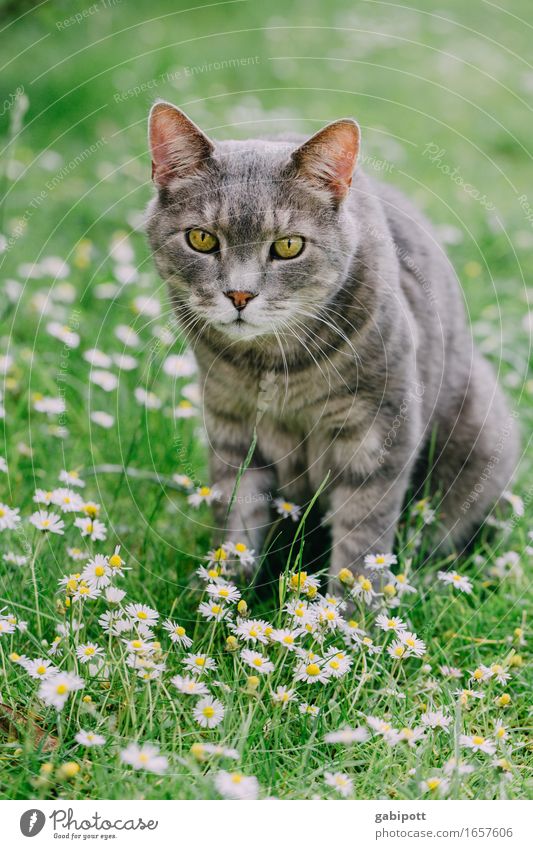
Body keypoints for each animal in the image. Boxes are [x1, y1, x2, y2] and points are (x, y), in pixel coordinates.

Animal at [144, 97, 516, 584]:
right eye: (202, 238)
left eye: (288, 246)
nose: (240, 295)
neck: (272, 367)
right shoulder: (231, 426)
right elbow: (237, 518)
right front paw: (223, 590)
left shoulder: (377, 430)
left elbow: (362, 540)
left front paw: (346, 604)